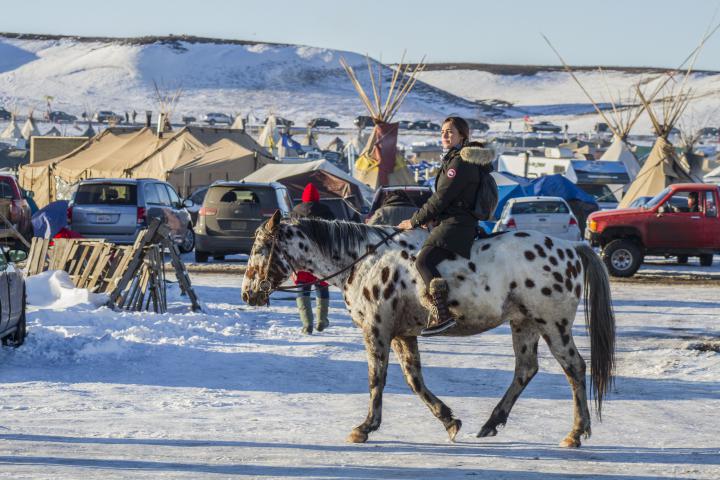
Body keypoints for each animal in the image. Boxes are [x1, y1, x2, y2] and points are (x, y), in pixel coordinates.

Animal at [242, 212, 612, 448]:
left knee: (574, 368)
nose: (248, 294)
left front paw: (365, 428)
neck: (365, 259)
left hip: (553, 324)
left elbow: (377, 378)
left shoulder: (377, 330)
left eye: (260, 247)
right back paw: (491, 423)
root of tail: (571, 249)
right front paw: (449, 420)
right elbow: (414, 380)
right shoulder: (403, 334)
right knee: (526, 369)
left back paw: (576, 433)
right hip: (524, 323)